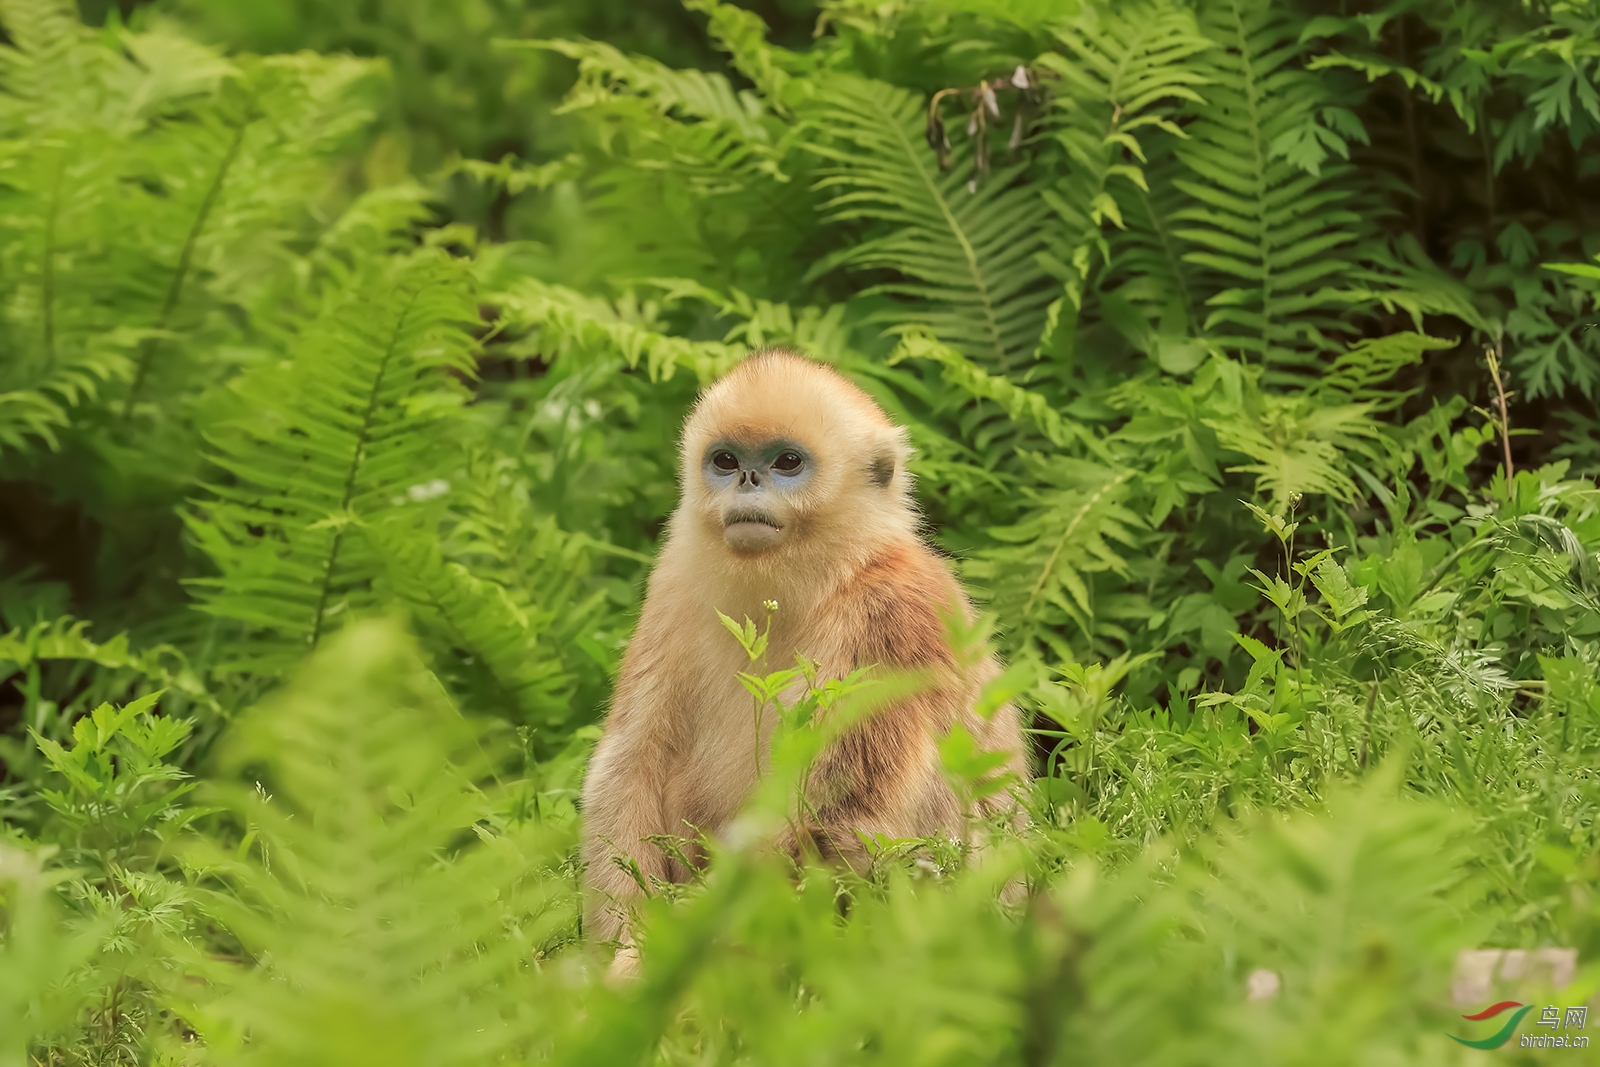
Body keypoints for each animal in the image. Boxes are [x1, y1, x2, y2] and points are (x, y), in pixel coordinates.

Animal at [576, 347, 1024, 979]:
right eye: (726, 460)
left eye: (787, 462)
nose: (748, 479)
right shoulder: (672, 590)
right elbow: (629, 765)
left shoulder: (899, 609)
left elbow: (847, 813)